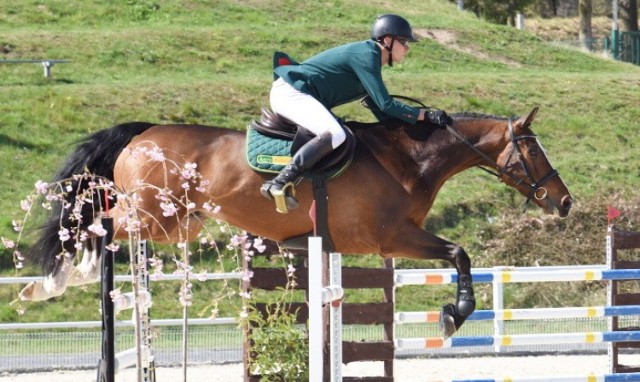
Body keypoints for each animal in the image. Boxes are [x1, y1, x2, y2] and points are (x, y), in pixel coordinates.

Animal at [20, 106, 572, 336]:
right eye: (534, 149)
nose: (564, 202)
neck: (412, 158)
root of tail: (142, 133)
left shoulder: (380, 242)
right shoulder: (392, 238)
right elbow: (459, 252)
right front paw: (455, 313)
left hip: (180, 223)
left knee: (101, 231)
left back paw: (55, 284)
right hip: (152, 213)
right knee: (95, 225)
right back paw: (48, 284)